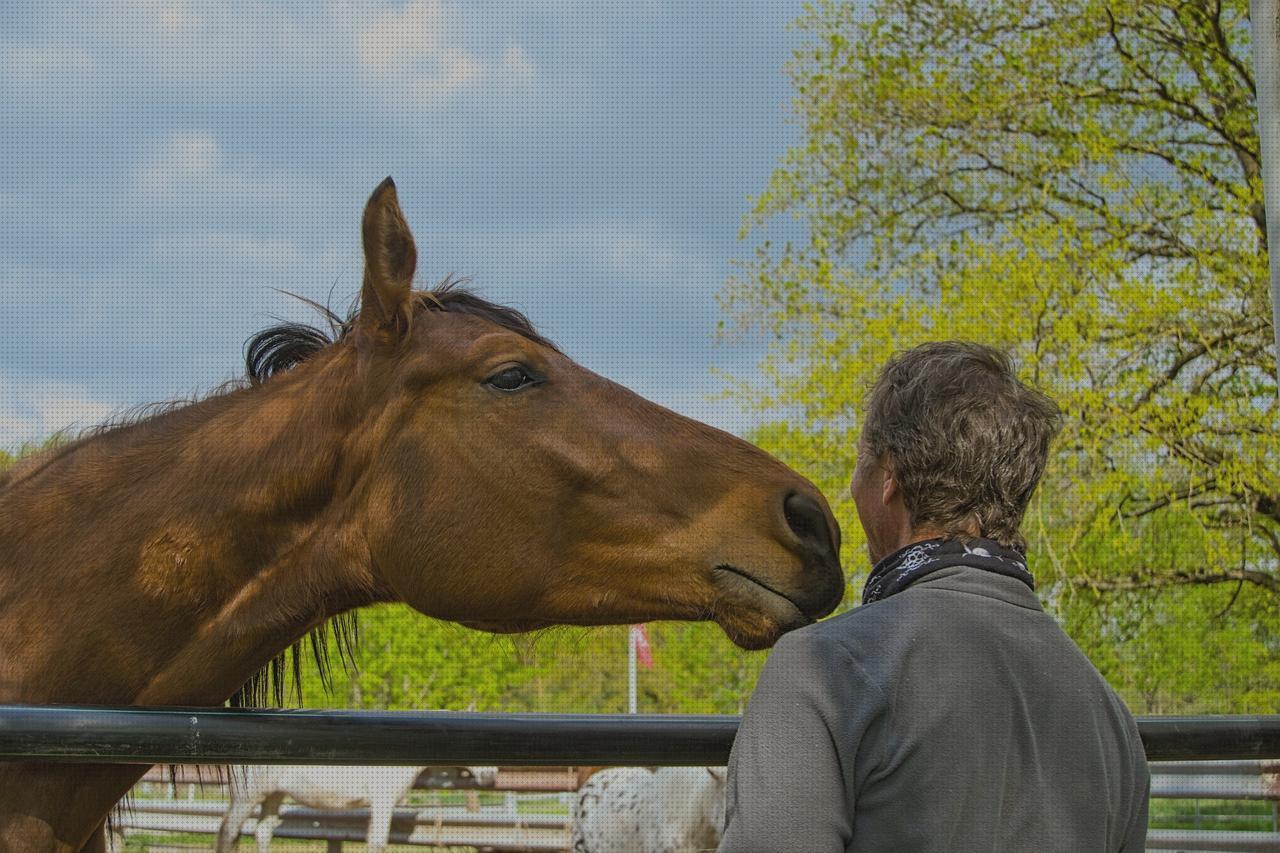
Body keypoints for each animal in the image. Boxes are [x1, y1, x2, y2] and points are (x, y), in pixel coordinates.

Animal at [215, 763, 499, 850]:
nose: (491, 777)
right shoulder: (383, 802)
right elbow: (377, 842)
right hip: (247, 797)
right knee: (228, 831)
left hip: (274, 795)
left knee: (262, 832)